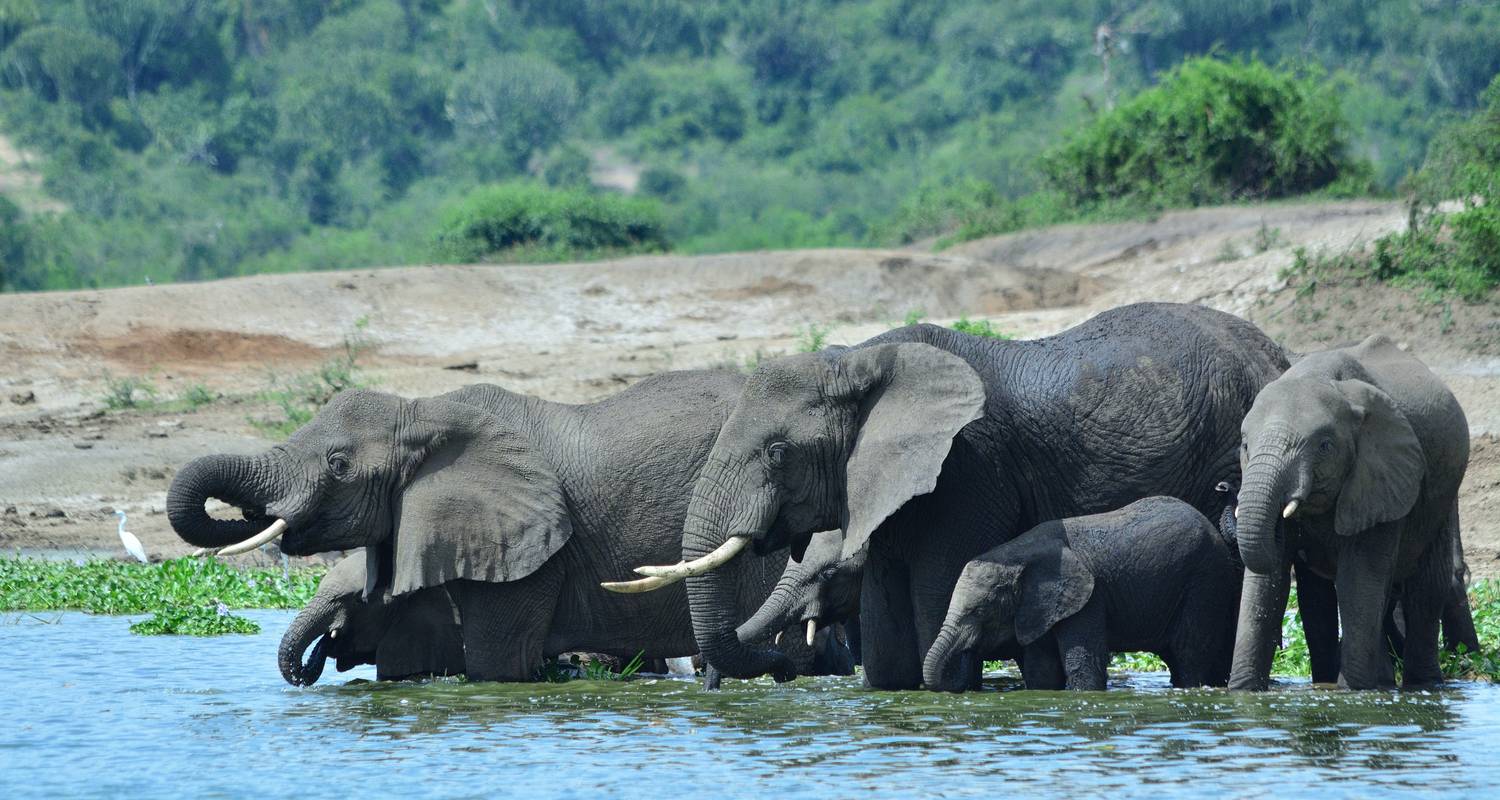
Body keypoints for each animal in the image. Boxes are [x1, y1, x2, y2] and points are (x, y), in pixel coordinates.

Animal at [924, 495, 1242, 690]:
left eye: (979, 611)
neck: (1017, 555)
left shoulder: (1087, 599)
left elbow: (1082, 665)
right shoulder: (1038, 608)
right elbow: (1041, 671)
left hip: (1205, 581)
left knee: (1189, 655)